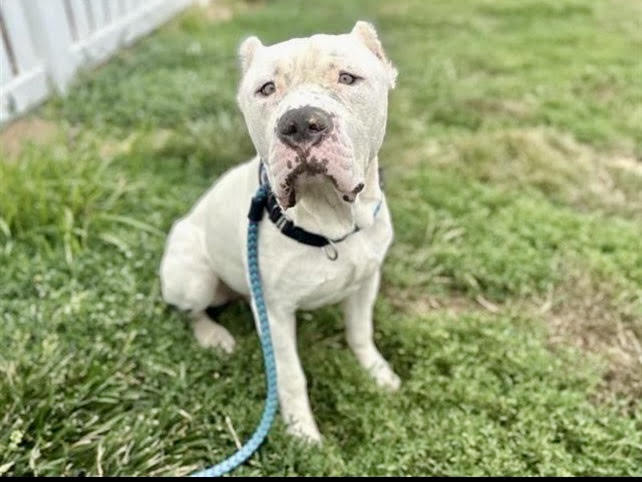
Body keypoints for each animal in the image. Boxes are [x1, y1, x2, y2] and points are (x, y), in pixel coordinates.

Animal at [159, 22, 398, 444]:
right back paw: (213, 336)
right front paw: (303, 433)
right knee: (192, 312)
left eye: (348, 78)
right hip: (193, 278)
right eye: (266, 88)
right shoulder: (275, 314)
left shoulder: (366, 282)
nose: (300, 123)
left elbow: (361, 333)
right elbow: (289, 375)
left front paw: (377, 372)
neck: (330, 222)